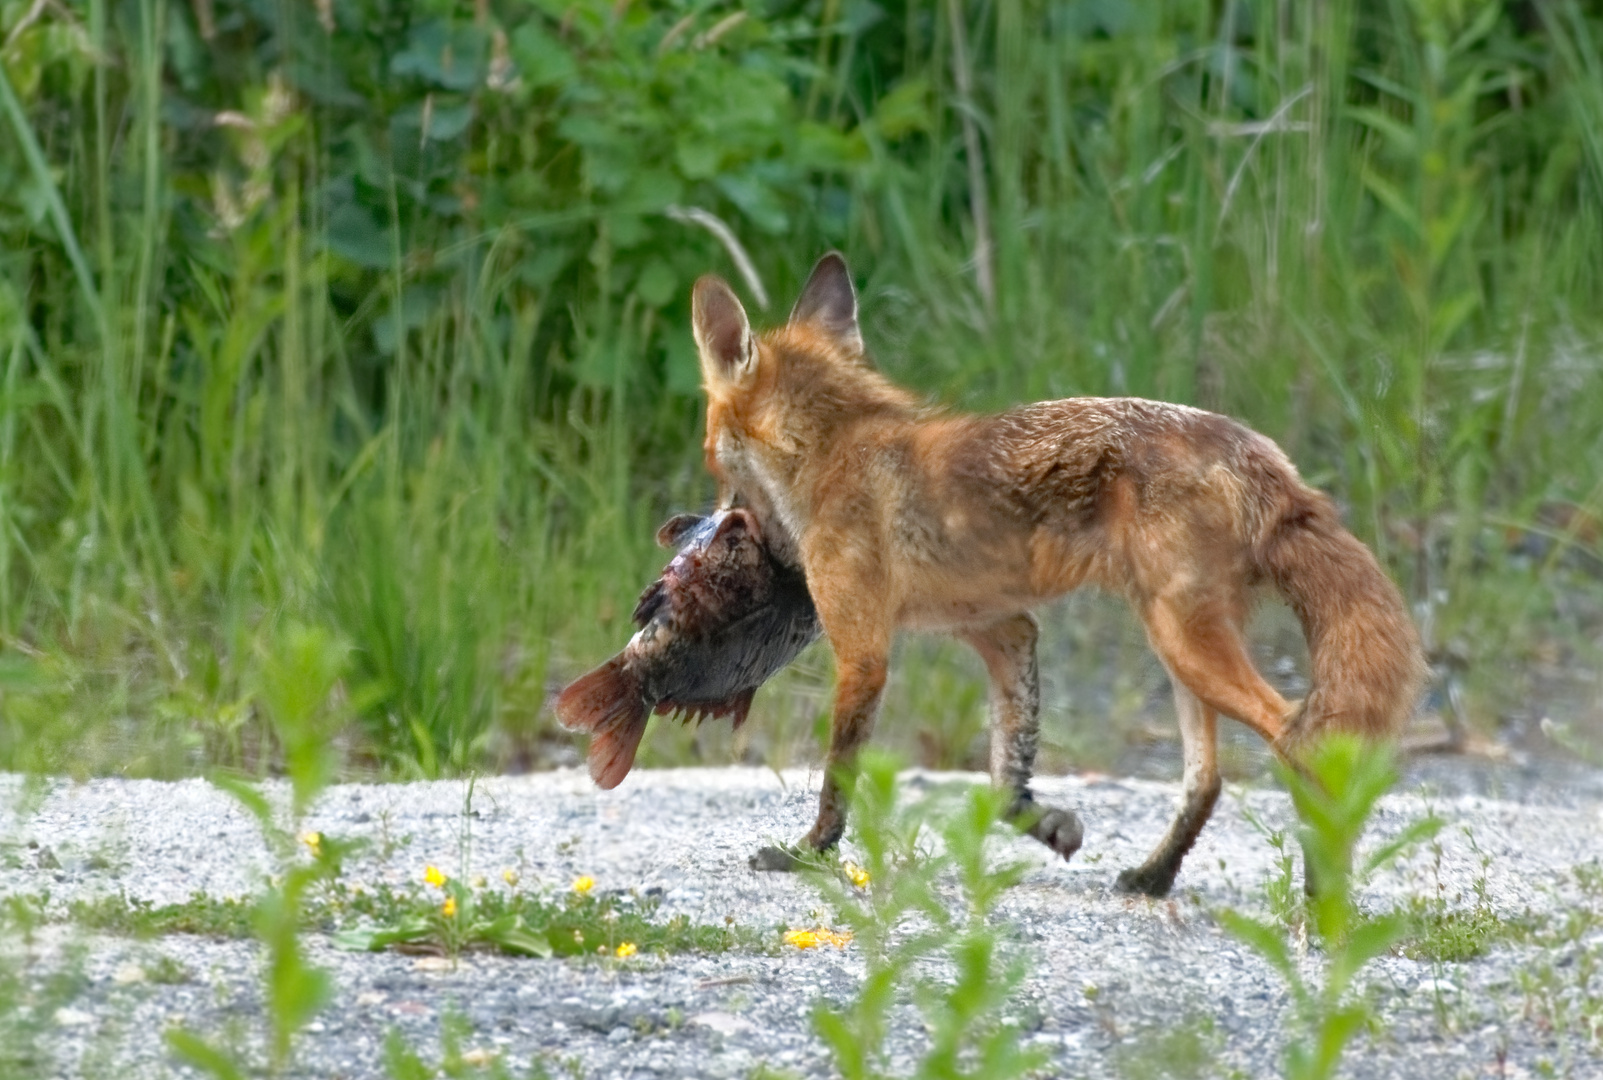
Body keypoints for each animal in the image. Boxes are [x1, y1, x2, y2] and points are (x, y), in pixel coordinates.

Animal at [695, 253, 1423, 890]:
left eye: (709, 454)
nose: (715, 521)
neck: (836, 450)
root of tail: (1254, 451)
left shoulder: (863, 651)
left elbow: (838, 777)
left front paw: (805, 854)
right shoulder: (1003, 628)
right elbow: (1005, 775)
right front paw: (1046, 827)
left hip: (1183, 640)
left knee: (1297, 742)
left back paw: (1318, 895)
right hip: (1183, 651)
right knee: (1207, 779)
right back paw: (1153, 878)